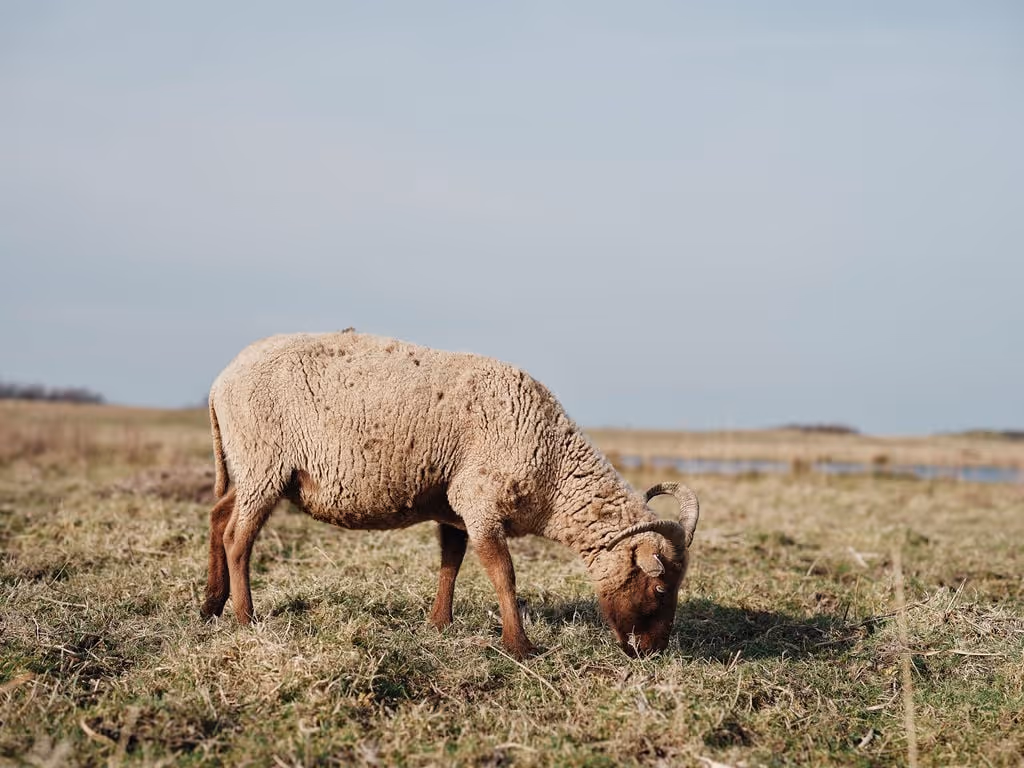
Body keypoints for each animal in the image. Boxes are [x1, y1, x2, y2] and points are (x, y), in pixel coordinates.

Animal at [202, 330, 699, 658]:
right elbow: (503, 574)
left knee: (218, 517)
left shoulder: (452, 506)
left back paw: (211, 606)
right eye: (660, 587)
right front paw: (520, 646)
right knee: (238, 538)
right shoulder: (479, 502)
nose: (652, 652)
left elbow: (451, 561)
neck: (554, 467)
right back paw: (246, 618)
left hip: (248, 468)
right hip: (264, 464)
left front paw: (440, 624)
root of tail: (221, 380)